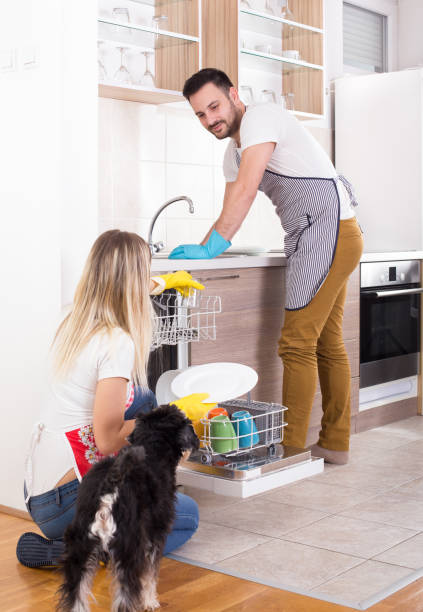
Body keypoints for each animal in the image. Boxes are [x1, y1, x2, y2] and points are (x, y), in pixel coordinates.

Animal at [56, 406, 200, 612]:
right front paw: (150, 601)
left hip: (79, 549)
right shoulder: (155, 536)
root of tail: (109, 489)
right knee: (126, 597)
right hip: (128, 550)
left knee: (76, 596)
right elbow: (150, 574)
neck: (153, 448)